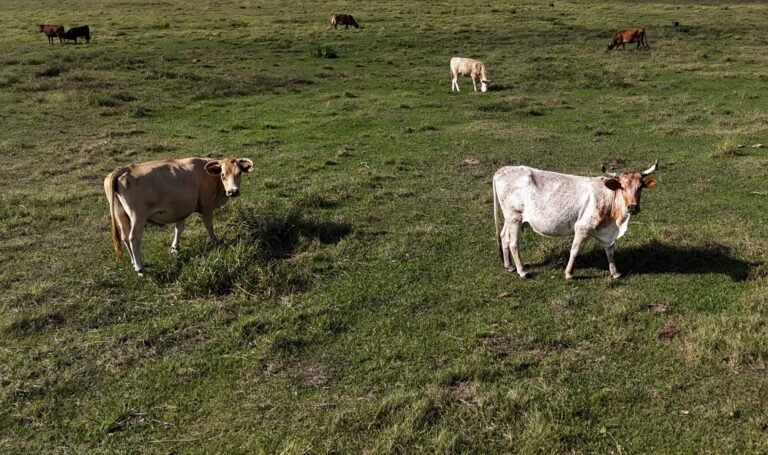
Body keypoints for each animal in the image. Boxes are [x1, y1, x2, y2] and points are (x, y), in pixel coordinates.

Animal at [104, 157, 254, 276]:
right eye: (223, 174)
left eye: (239, 173)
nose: (233, 191)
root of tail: (125, 168)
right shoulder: (207, 204)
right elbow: (208, 225)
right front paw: (215, 242)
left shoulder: (182, 208)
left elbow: (179, 228)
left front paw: (174, 248)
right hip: (138, 216)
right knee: (133, 238)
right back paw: (140, 268)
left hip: (121, 215)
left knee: (125, 237)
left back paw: (134, 263)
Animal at [492, 161, 658, 279]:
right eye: (622, 187)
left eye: (640, 187)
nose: (632, 207)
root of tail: (502, 170)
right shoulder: (583, 227)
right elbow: (575, 250)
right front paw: (569, 273)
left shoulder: (607, 233)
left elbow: (610, 251)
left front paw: (615, 273)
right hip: (515, 217)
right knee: (513, 243)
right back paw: (522, 271)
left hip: (510, 218)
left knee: (504, 237)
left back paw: (509, 266)